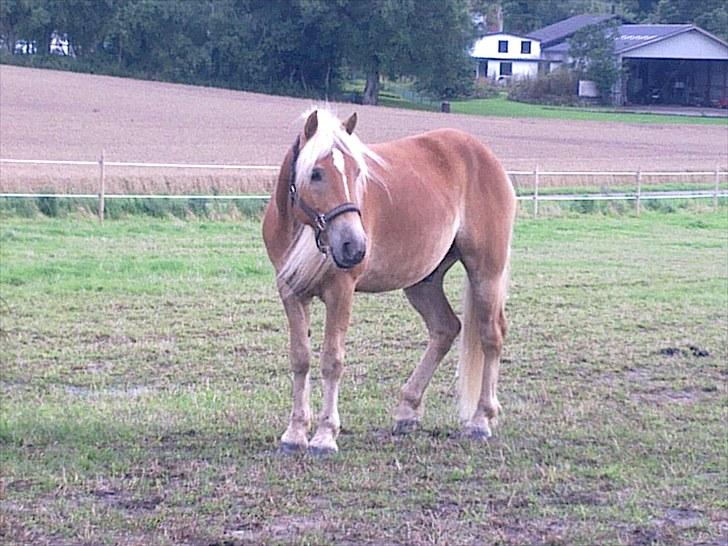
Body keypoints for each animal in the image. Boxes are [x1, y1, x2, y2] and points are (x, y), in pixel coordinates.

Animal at [264, 108, 516, 452]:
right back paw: (407, 411)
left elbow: (332, 360)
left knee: (491, 335)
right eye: (315, 173)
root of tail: (485, 156)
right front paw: (295, 433)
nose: (355, 246)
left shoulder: (341, 292)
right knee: (445, 328)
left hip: (486, 271)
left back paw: (480, 420)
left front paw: (325, 435)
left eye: (358, 172)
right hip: (424, 281)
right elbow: (300, 359)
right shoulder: (290, 292)